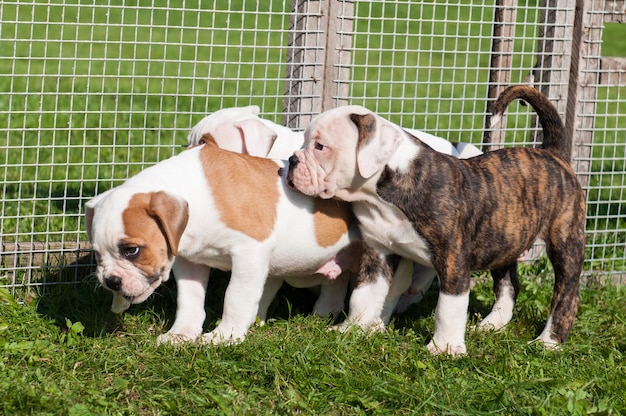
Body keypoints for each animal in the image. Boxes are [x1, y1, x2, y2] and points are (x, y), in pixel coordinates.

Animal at [87, 140, 360, 344]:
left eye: (132, 250)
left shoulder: (249, 253)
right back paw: (322, 313)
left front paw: (223, 336)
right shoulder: (189, 262)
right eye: (97, 255)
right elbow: (190, 298)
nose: (111, 281)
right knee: (335, 284)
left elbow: (235, 297)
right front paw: (181, 333)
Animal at [288, 85, 584, 358]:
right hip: (503, 240)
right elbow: (364, 295)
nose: (291, 160)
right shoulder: (377, 253)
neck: (382, 195)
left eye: (320, 146)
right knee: (508, 284)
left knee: (566, 292)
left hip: (565, 240)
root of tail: (552, 153)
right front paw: (351, 329)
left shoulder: (452, 259)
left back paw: (549, 341)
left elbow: (448, 307)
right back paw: (492, 325)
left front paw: (445, 348)